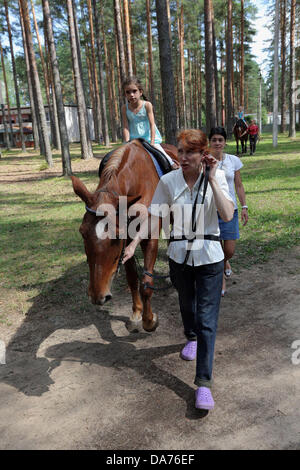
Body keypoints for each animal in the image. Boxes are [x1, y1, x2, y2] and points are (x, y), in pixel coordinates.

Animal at [71, 140, 177, 334]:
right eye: (82, 232)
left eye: (116, 236)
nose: (98, 296)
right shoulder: (127, 241)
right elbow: (132, 278)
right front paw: (136, 314)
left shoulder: (149, 236)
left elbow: (146, 283)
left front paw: (149, 320)